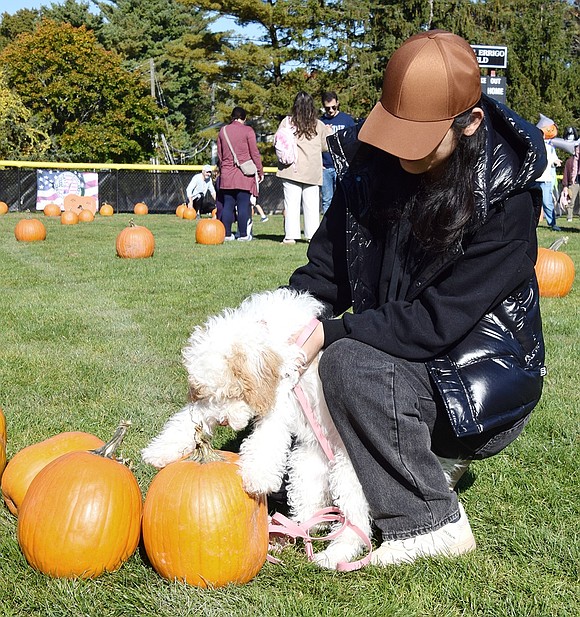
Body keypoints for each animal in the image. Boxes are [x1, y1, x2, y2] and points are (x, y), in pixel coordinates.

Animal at [143, 288, 374, 568]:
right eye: (209, 394)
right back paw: (293, 531)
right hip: (307, 464)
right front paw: (158, 452)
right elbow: (189, 419)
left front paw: (257, 478)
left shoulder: (279, 399)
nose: (223, 421)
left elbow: (265, 440)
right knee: (309, 506)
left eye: (235, 393)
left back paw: (334, 554)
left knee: (355, 523)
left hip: (347, 474)